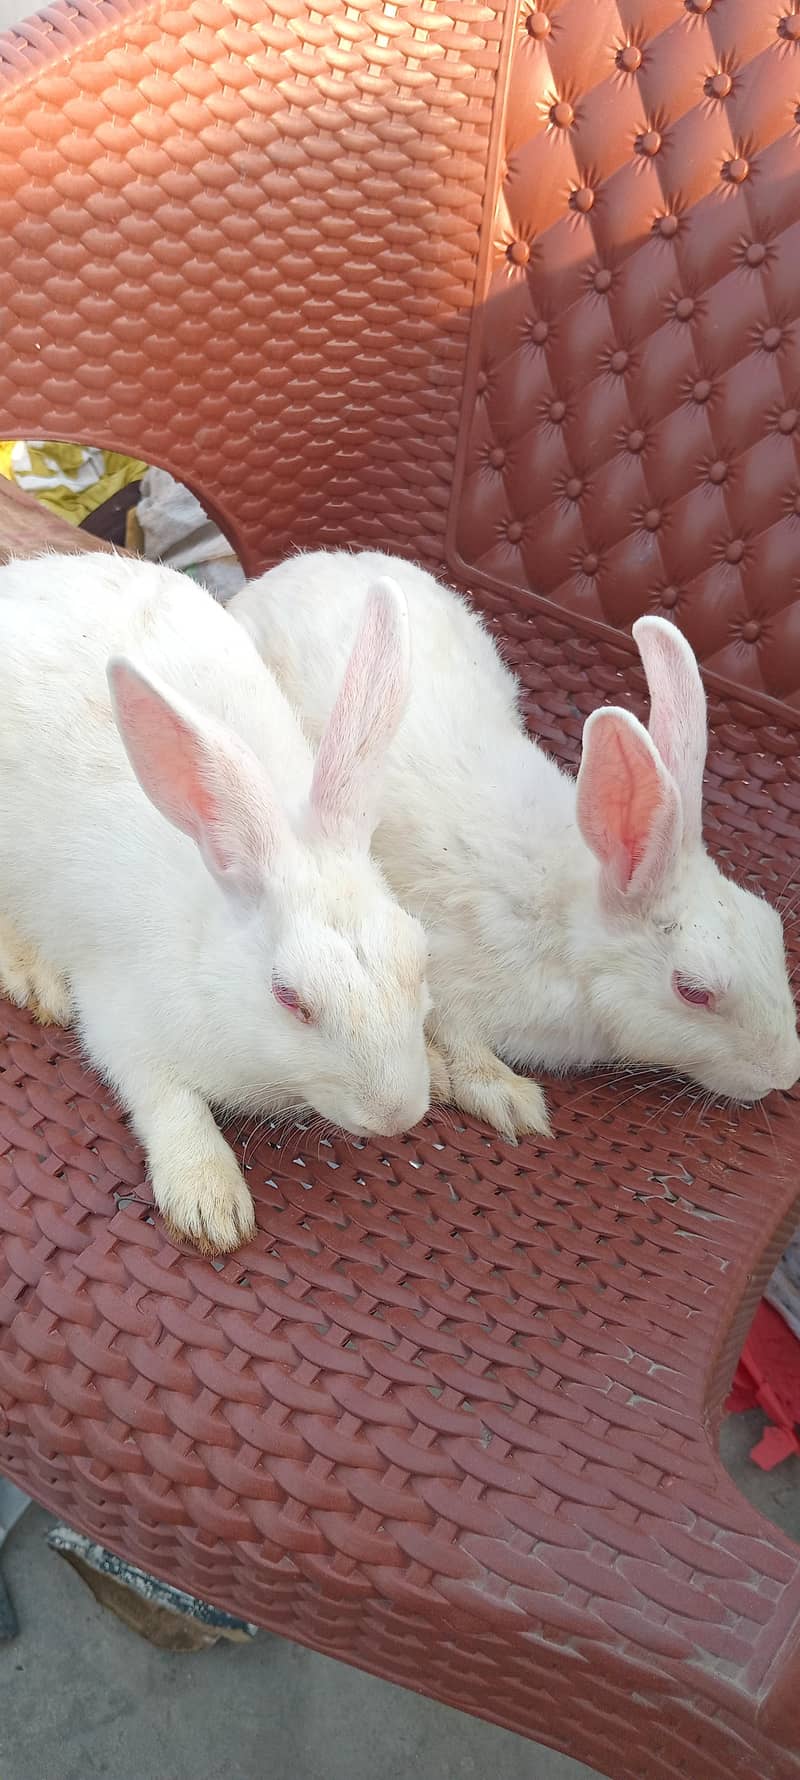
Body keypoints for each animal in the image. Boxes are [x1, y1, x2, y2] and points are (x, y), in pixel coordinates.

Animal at [0, 551, 434, 1254]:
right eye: (289, 998)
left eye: (420, 960)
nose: (396, 1115)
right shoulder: (122, 1021)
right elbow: (167, 1099)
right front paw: (211, 1205)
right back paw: (33, 976)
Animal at [230, 549, 800, 1139]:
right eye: (693, 991)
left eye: (771, 927)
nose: (783, 1075)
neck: (571, 930)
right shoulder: (447, 969)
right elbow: (454, 1033)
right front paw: (506, 1098)